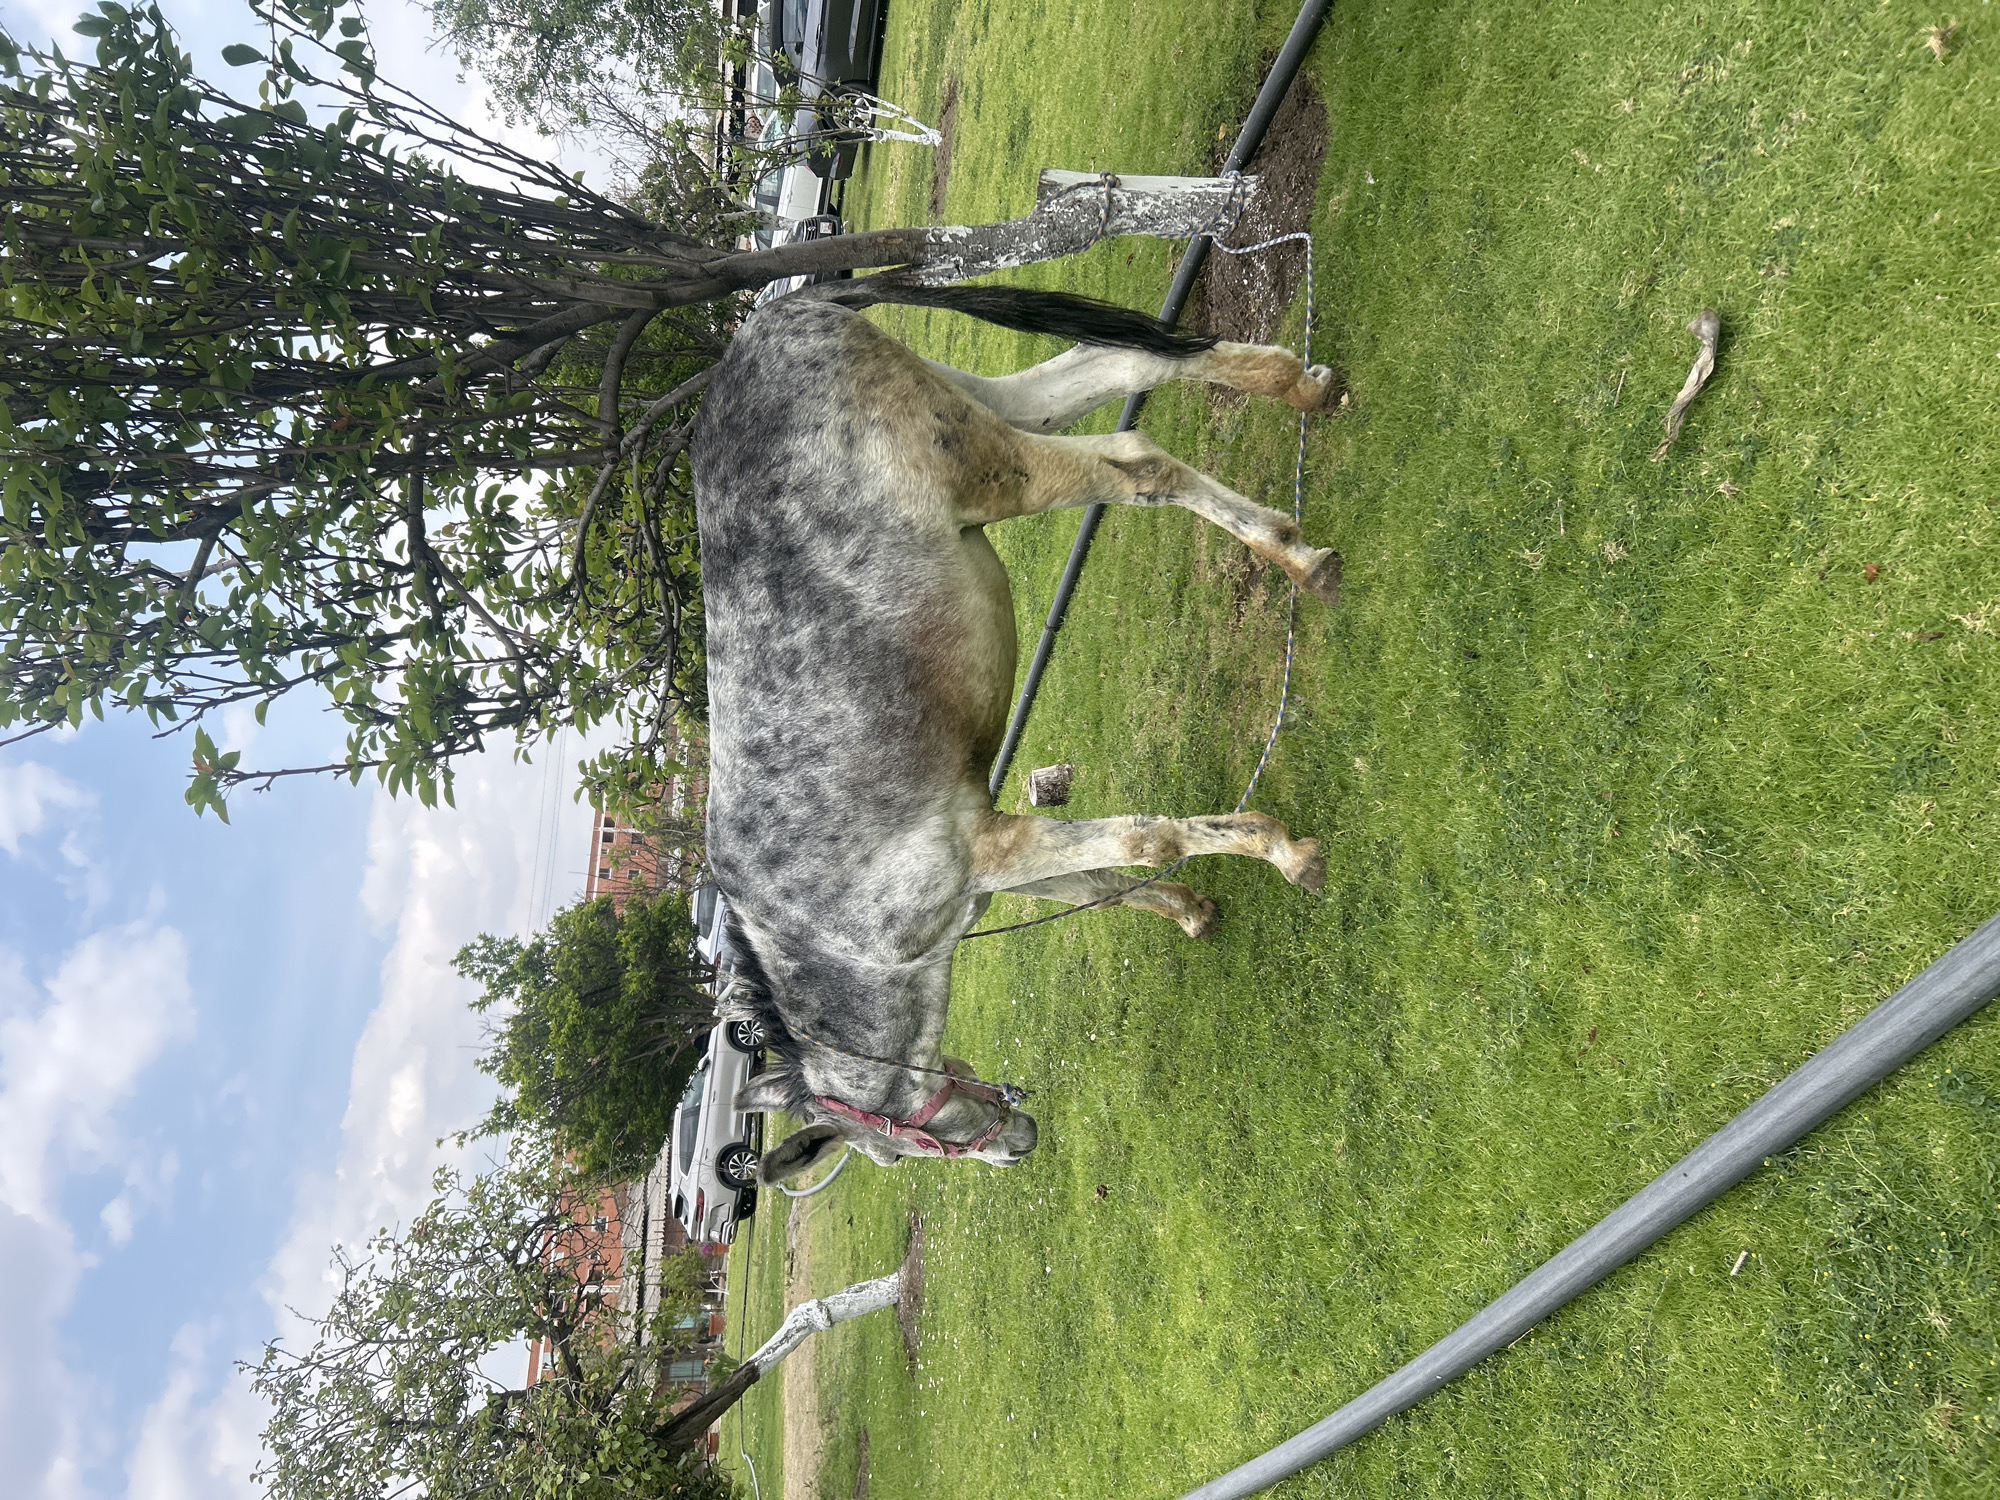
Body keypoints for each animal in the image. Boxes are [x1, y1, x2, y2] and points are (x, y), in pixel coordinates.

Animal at [694, 283, 1342, 1181]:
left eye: (896, 1152)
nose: (1015, 1146)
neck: (837, 941)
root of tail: (769, 323)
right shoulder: (994, 865)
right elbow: (1101, 883)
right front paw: (1188, 910)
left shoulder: (984, 851)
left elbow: (1144, 840)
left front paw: (1278, 851)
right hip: (982, 403)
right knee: (1125, 367)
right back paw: (1301, 410)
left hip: (993, 467)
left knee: (1134, 458)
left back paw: (1290, 551)